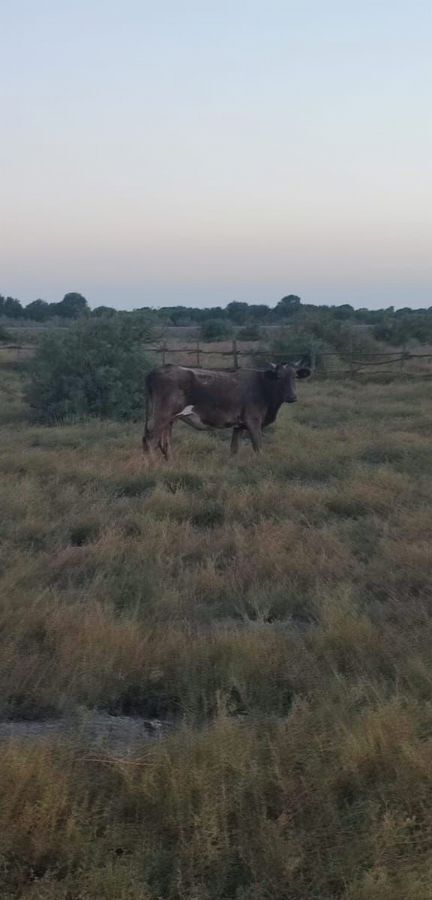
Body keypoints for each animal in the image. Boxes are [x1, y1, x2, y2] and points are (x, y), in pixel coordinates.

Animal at [143, 358, 312, 458]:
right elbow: (258, 447)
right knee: (150, 439)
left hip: (169, 419)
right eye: (279, 377)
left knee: (164, 443)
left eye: (295, 376)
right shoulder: (253, 421)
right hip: (162, 415)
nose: (292, 397)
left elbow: (234, 449)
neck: (262, 386)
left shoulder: (239, 425)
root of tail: (158, 370)